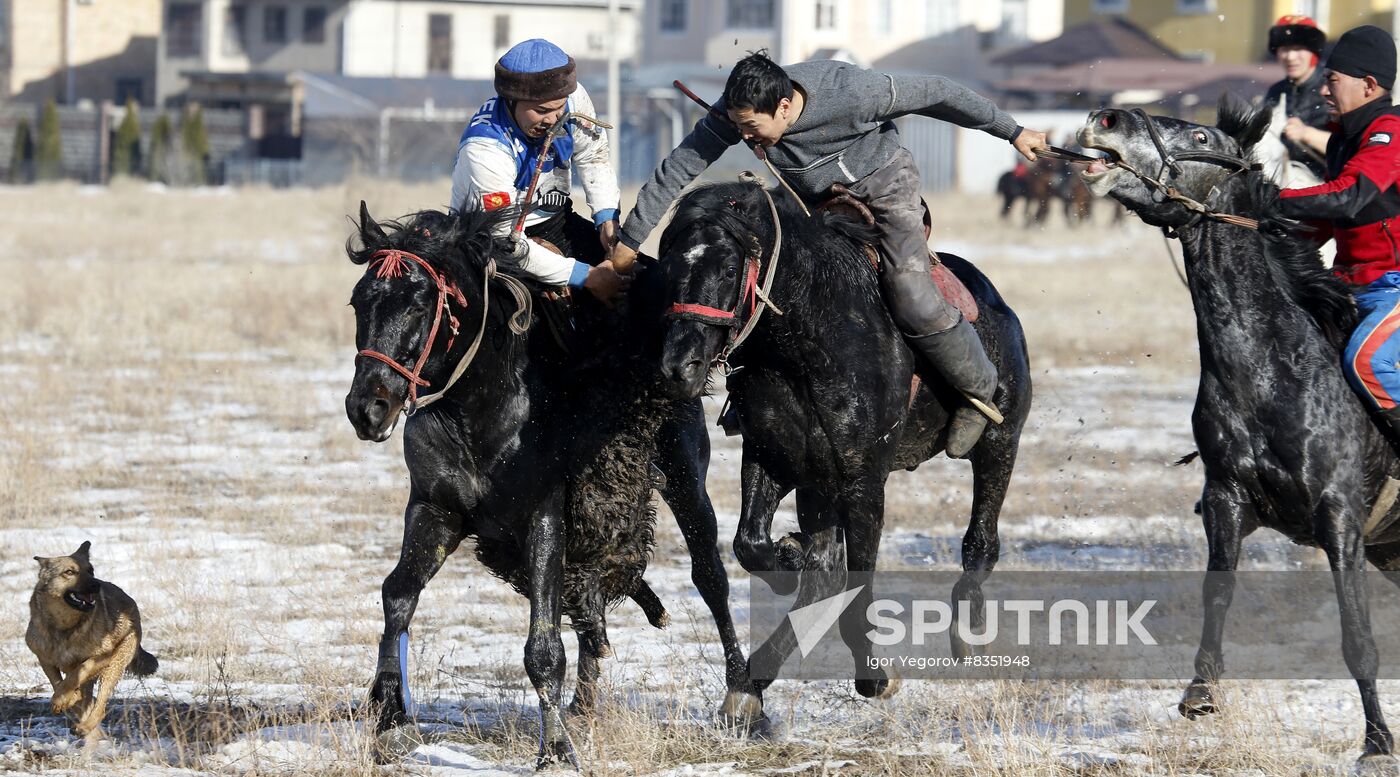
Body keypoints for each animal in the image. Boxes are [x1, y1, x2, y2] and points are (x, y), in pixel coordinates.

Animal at [344, 204, 767, 767]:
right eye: (358, 302)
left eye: (418, 305)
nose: (367, 408)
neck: (480, 406)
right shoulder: (435, 511)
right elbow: (397, 596)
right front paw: (390, 712)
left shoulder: (542, 517)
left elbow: (543, 647)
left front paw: (558, 750)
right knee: (589, 610)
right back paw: (583, 706)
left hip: (684, 481)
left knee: (710, 576)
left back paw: (743, 696)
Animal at [649, 182, 1036, 700]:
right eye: (668, 267)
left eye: (729, 269)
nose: (679, 367)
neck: (806, 343)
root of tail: (999, 307)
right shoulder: (776, 460)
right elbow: (753, 545)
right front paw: (788, 553)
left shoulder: (863, 479)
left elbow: (857, 576)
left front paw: (874, 676)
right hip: (819, 486)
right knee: (820, 578)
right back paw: (756, 676)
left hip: (1000, 443)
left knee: (982, 540)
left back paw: (967, 630)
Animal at [1080, 95, 1400, 767]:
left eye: (1201, 136)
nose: (1106, 120)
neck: (1275, 367)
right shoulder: (1227, 500)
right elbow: (1217, 593)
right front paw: (1200, 691)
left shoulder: (1341, 518)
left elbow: (1356, 633)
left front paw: (1377, 742)